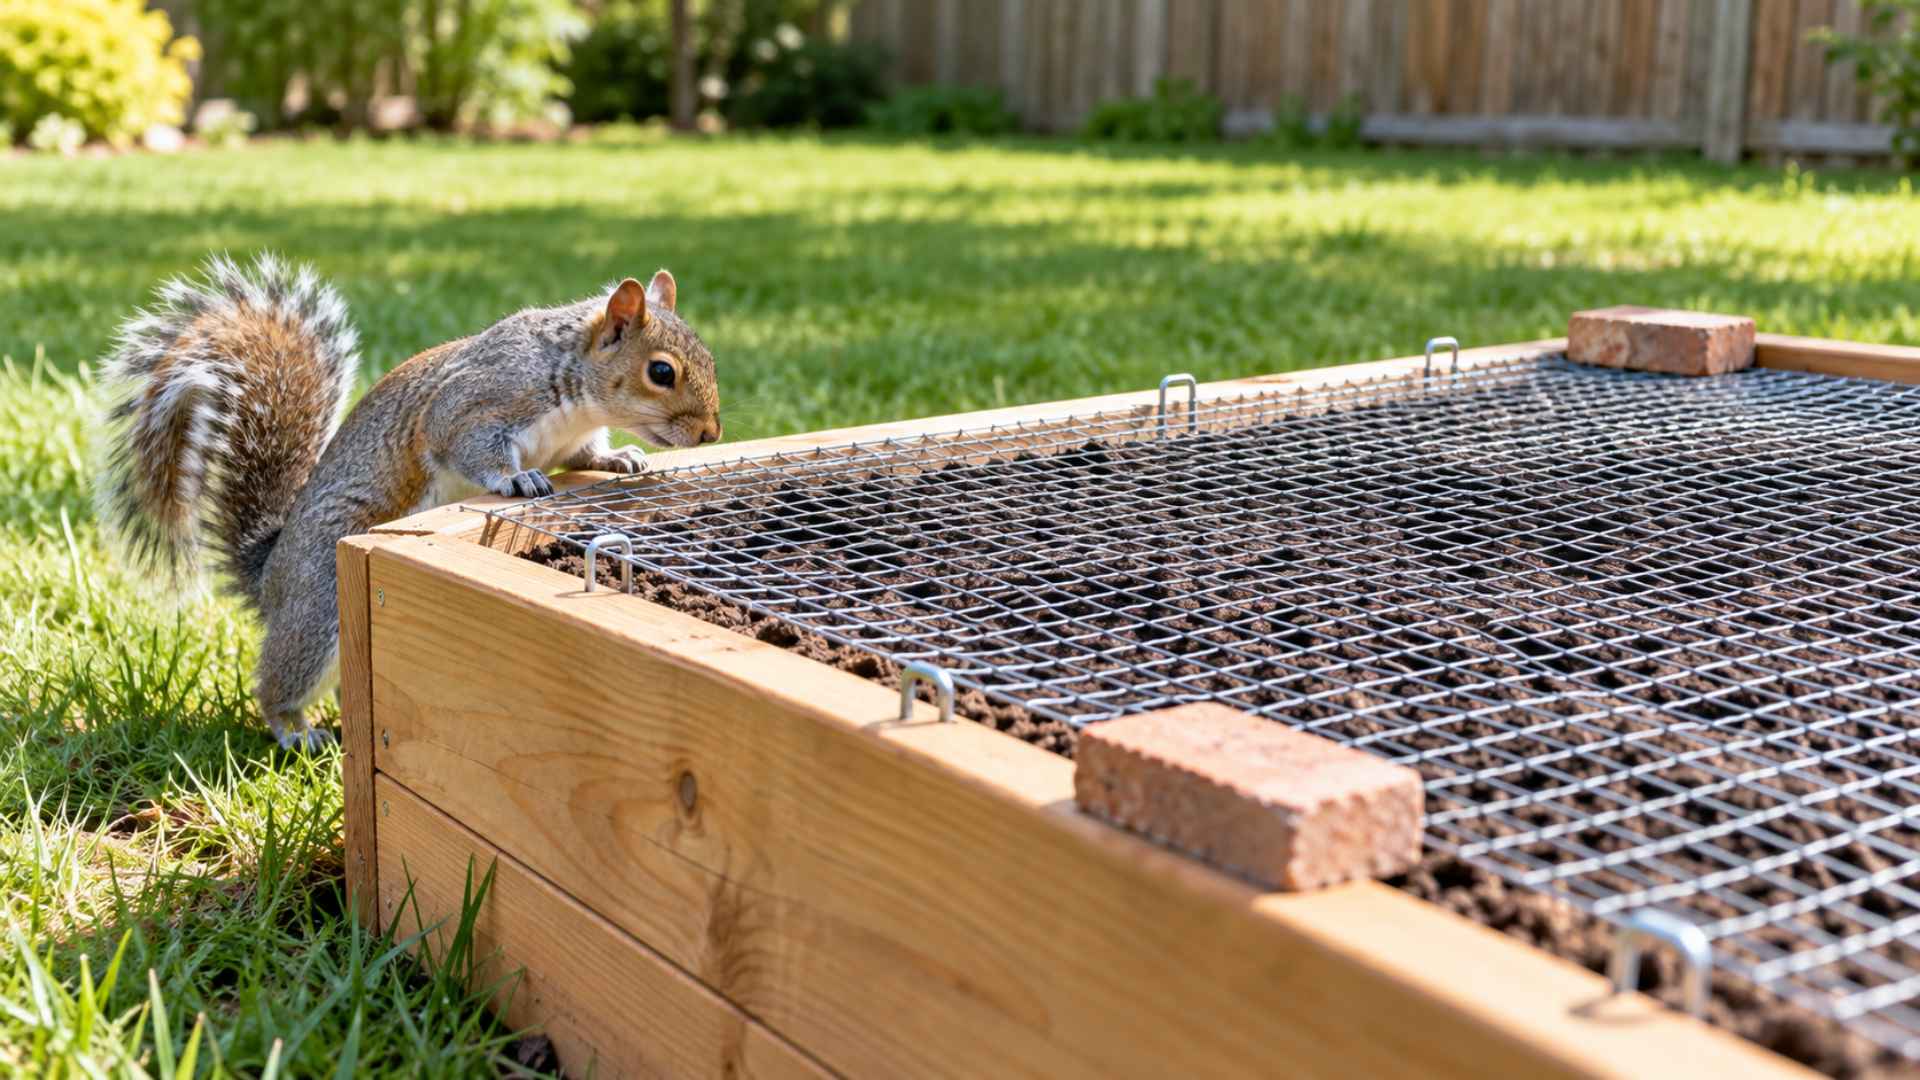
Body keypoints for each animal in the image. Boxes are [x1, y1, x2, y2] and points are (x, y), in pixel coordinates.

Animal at [97, 253, 722, 749]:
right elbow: (469, 449)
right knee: (282, 678)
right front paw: (517, 480)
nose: (711, 433)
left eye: (710, 358)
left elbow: (586, 456)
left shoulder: (573, 439)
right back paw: (295, 731)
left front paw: (623, 460)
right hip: (319, 595)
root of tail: (268, 573)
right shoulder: (471, 407)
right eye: (660, 371)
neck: (570, 386)